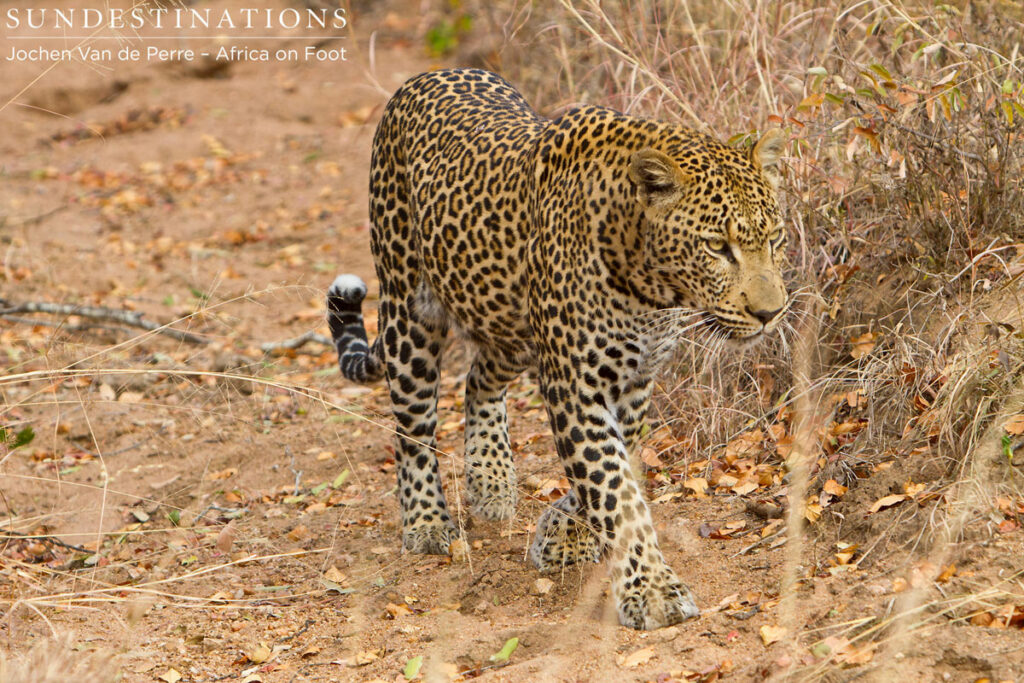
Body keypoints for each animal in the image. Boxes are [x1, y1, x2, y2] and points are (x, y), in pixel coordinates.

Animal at [327, 68, 790, 630]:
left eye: (776, 238)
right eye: (717, 247)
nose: (771, 312)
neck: (649, 285)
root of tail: (426, 76)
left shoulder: (635, 379)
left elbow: (610, 469)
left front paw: (563, 532)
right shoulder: (576, 383)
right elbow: (614, 488)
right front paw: (652, 590)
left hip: (512, 327)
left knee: (479, 378)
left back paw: (492, 481)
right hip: (409, 310)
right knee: (413, 428)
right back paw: (428, 522)